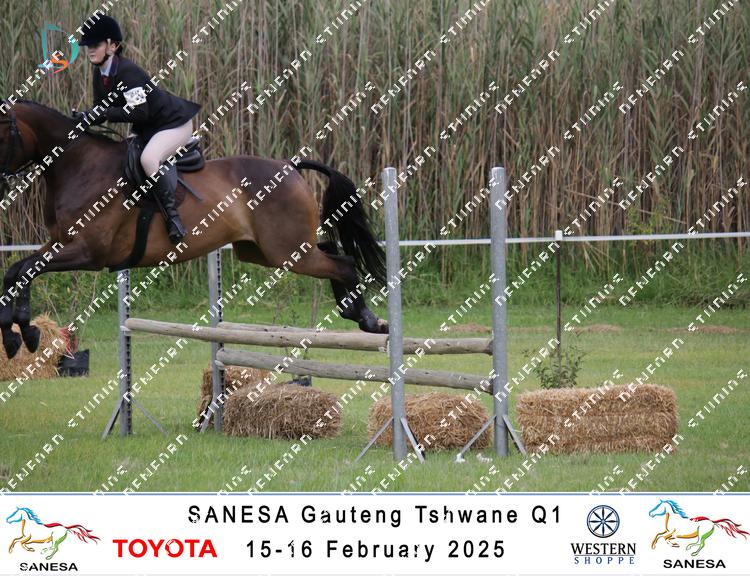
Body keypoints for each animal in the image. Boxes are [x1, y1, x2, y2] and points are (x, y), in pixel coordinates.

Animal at [0, 100, 389, 359]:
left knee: (343, 263)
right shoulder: (59, 243)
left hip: (288, 252)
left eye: (2, 131)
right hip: (266, 251)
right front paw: (19, 334)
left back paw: (368, 320)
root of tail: (290, 166)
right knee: (333, 250)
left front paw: (24, 331)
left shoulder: (88, 252)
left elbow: (25, 270)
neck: (79, 166)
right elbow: (17, 270)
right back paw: (354, 312)